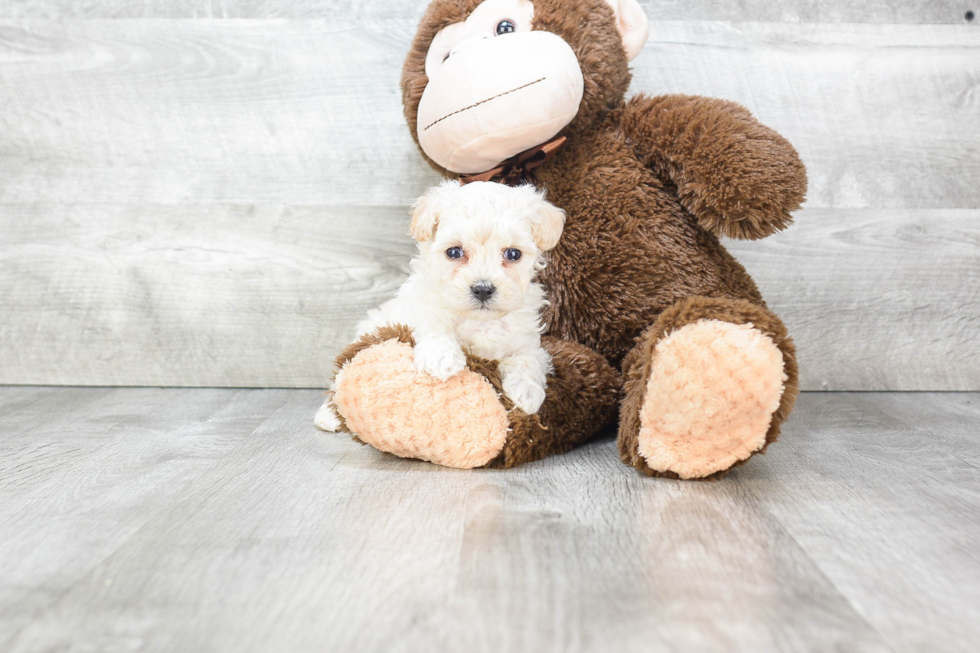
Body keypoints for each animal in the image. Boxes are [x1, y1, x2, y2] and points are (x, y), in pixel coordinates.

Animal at [316, 181, 568, 430]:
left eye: (513, 254)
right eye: (454, 252)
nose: (483, 289)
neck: (479, 321)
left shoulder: (528, 342)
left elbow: (528, 358)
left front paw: (527, 393)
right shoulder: (417, 309)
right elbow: (432, 325)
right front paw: (442, 358)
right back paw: (328, 415)